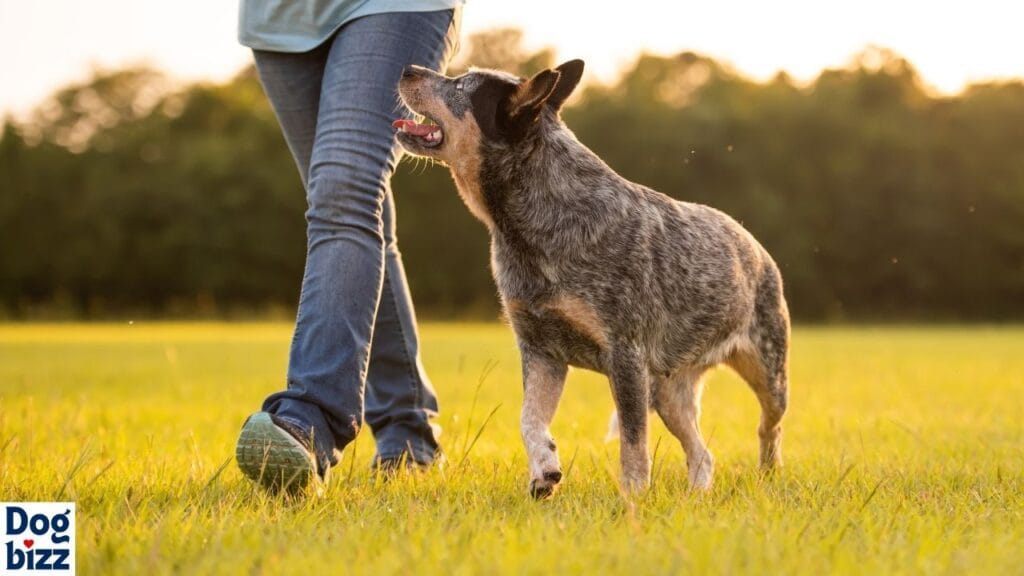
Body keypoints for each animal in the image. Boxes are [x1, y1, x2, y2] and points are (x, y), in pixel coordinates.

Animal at [393, 59, 790, 498]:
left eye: (462, 85)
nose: (409, 68)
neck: (536, 222)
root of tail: (753, 243)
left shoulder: (625, 354)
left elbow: (633, 444)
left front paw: (632, 500)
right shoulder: (541, 350)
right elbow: (529, 419)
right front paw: (544, 471)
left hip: (768, 371)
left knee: (768, 427)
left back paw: (769, 473)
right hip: (668, 391)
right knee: (703, 454)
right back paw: (698, 498)